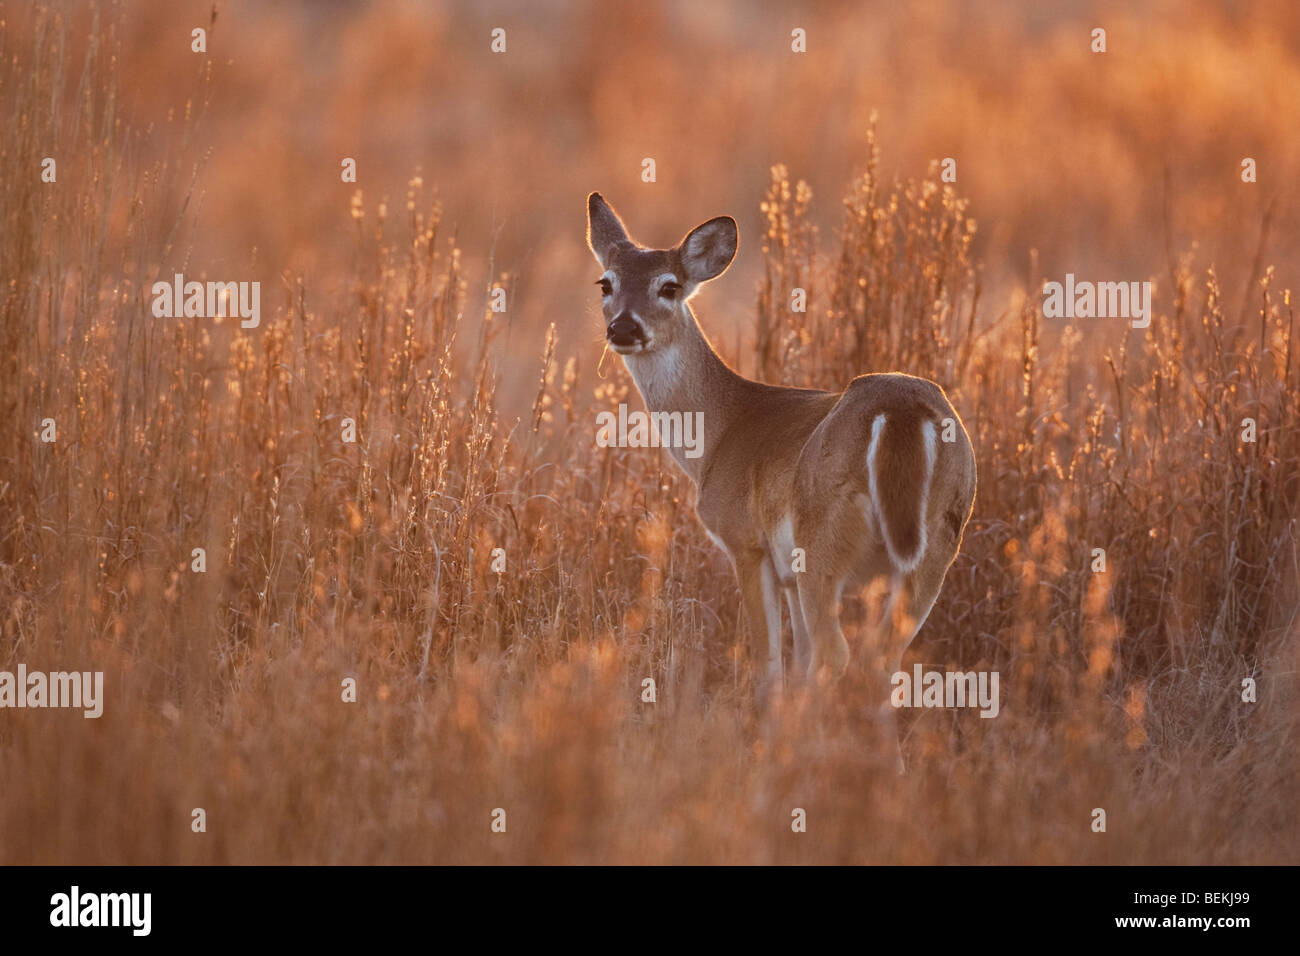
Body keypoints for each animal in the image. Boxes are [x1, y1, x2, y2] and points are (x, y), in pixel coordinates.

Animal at [590, 192, 977, 764]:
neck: (719, 433)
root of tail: (903, 411)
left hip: (823, 539)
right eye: (606, 282)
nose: (624, 328)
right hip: (937, 542)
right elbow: (799, 665)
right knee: (877, 662)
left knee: (839, 656)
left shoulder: (746, 543)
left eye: (669, 286)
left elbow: (770, 664)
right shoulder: (789, 572)